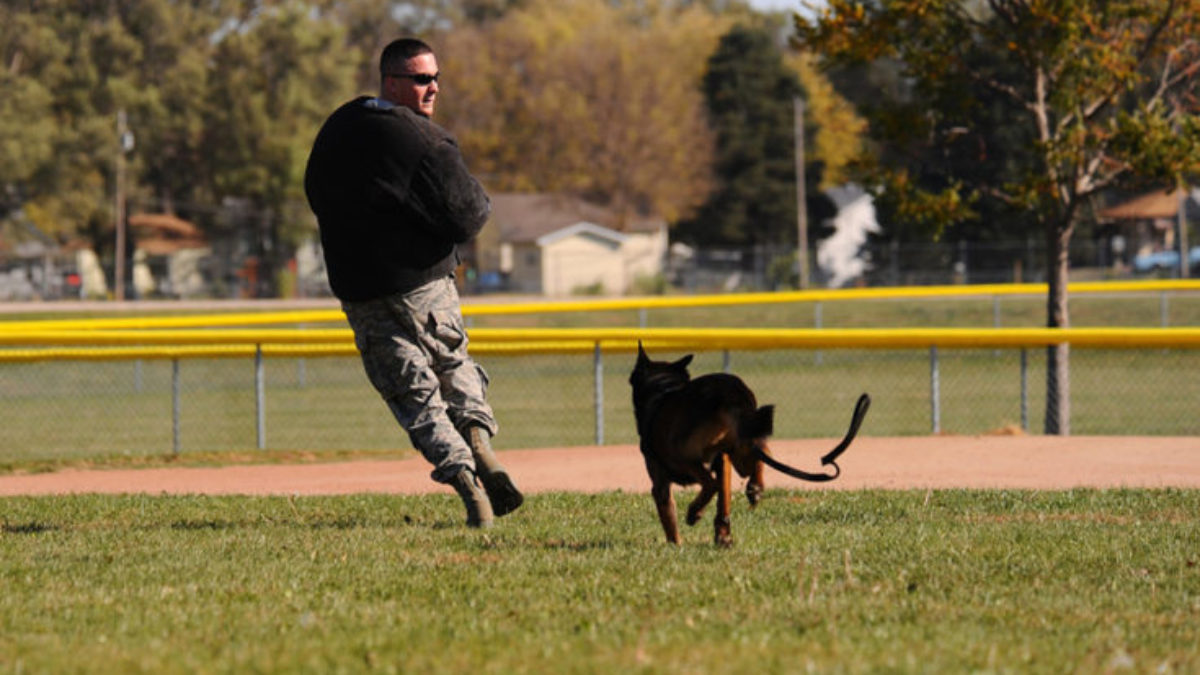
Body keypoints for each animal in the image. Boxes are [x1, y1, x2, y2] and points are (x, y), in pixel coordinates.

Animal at [628, 343, 873, 542]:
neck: (663, 389)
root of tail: (733, 395)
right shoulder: (724, 462)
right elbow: (723, 501)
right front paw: (721, 533)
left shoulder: (661, 483)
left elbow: (670, 522)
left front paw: (676, 545)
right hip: (741, 448)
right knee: (762, 450)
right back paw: (754, 489)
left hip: (686, 453)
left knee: (711, 482)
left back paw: (695, 512)